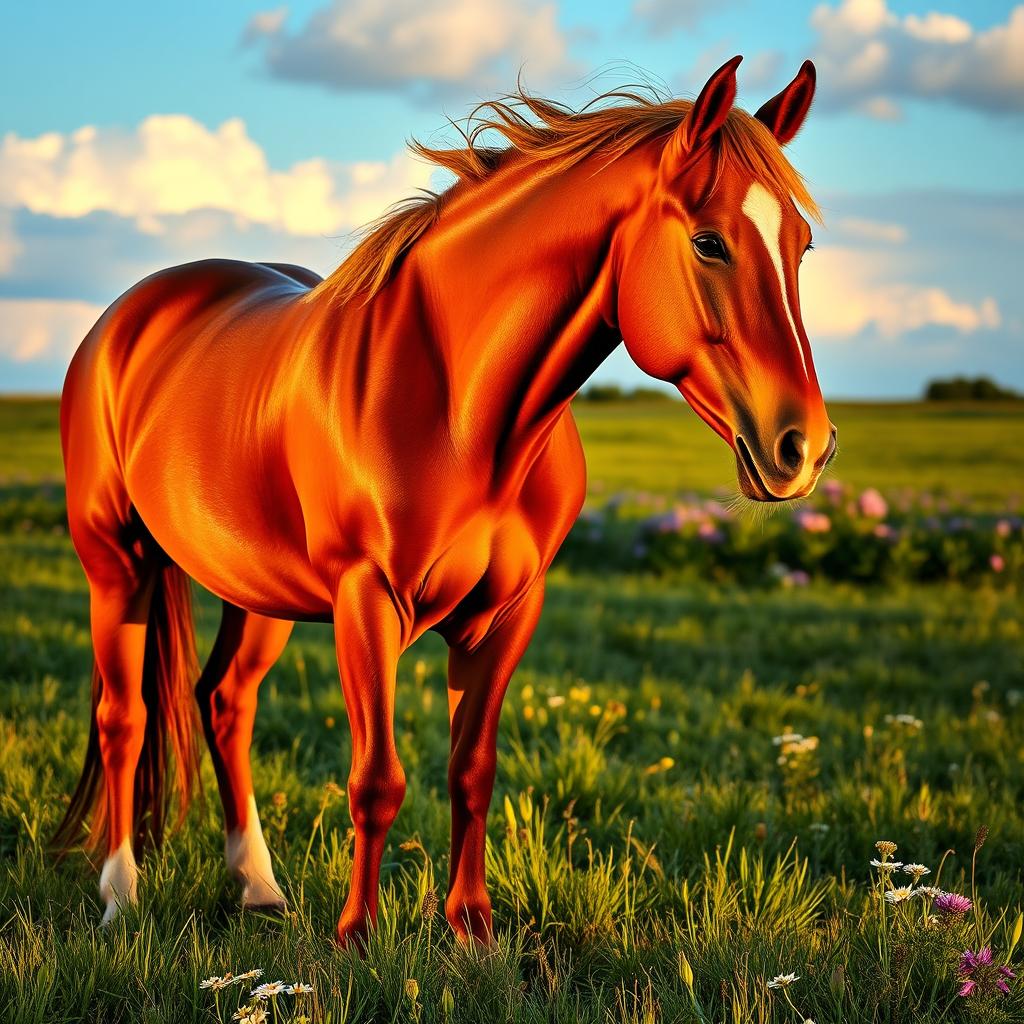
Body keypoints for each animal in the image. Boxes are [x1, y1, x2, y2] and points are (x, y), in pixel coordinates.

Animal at [53, 55, 836, 946]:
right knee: (123, 719)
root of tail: (130, 317)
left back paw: (258, 887)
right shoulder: (367, 601)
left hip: (256, 590)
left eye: (801, 245)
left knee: (224, 703)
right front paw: (357, 936)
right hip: (115, 565)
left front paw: (472, 927)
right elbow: (376, 779)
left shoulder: (507, 614)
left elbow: (472, 769)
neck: (461, 410)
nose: (803, 448)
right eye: (709, 242)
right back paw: (120, 895)